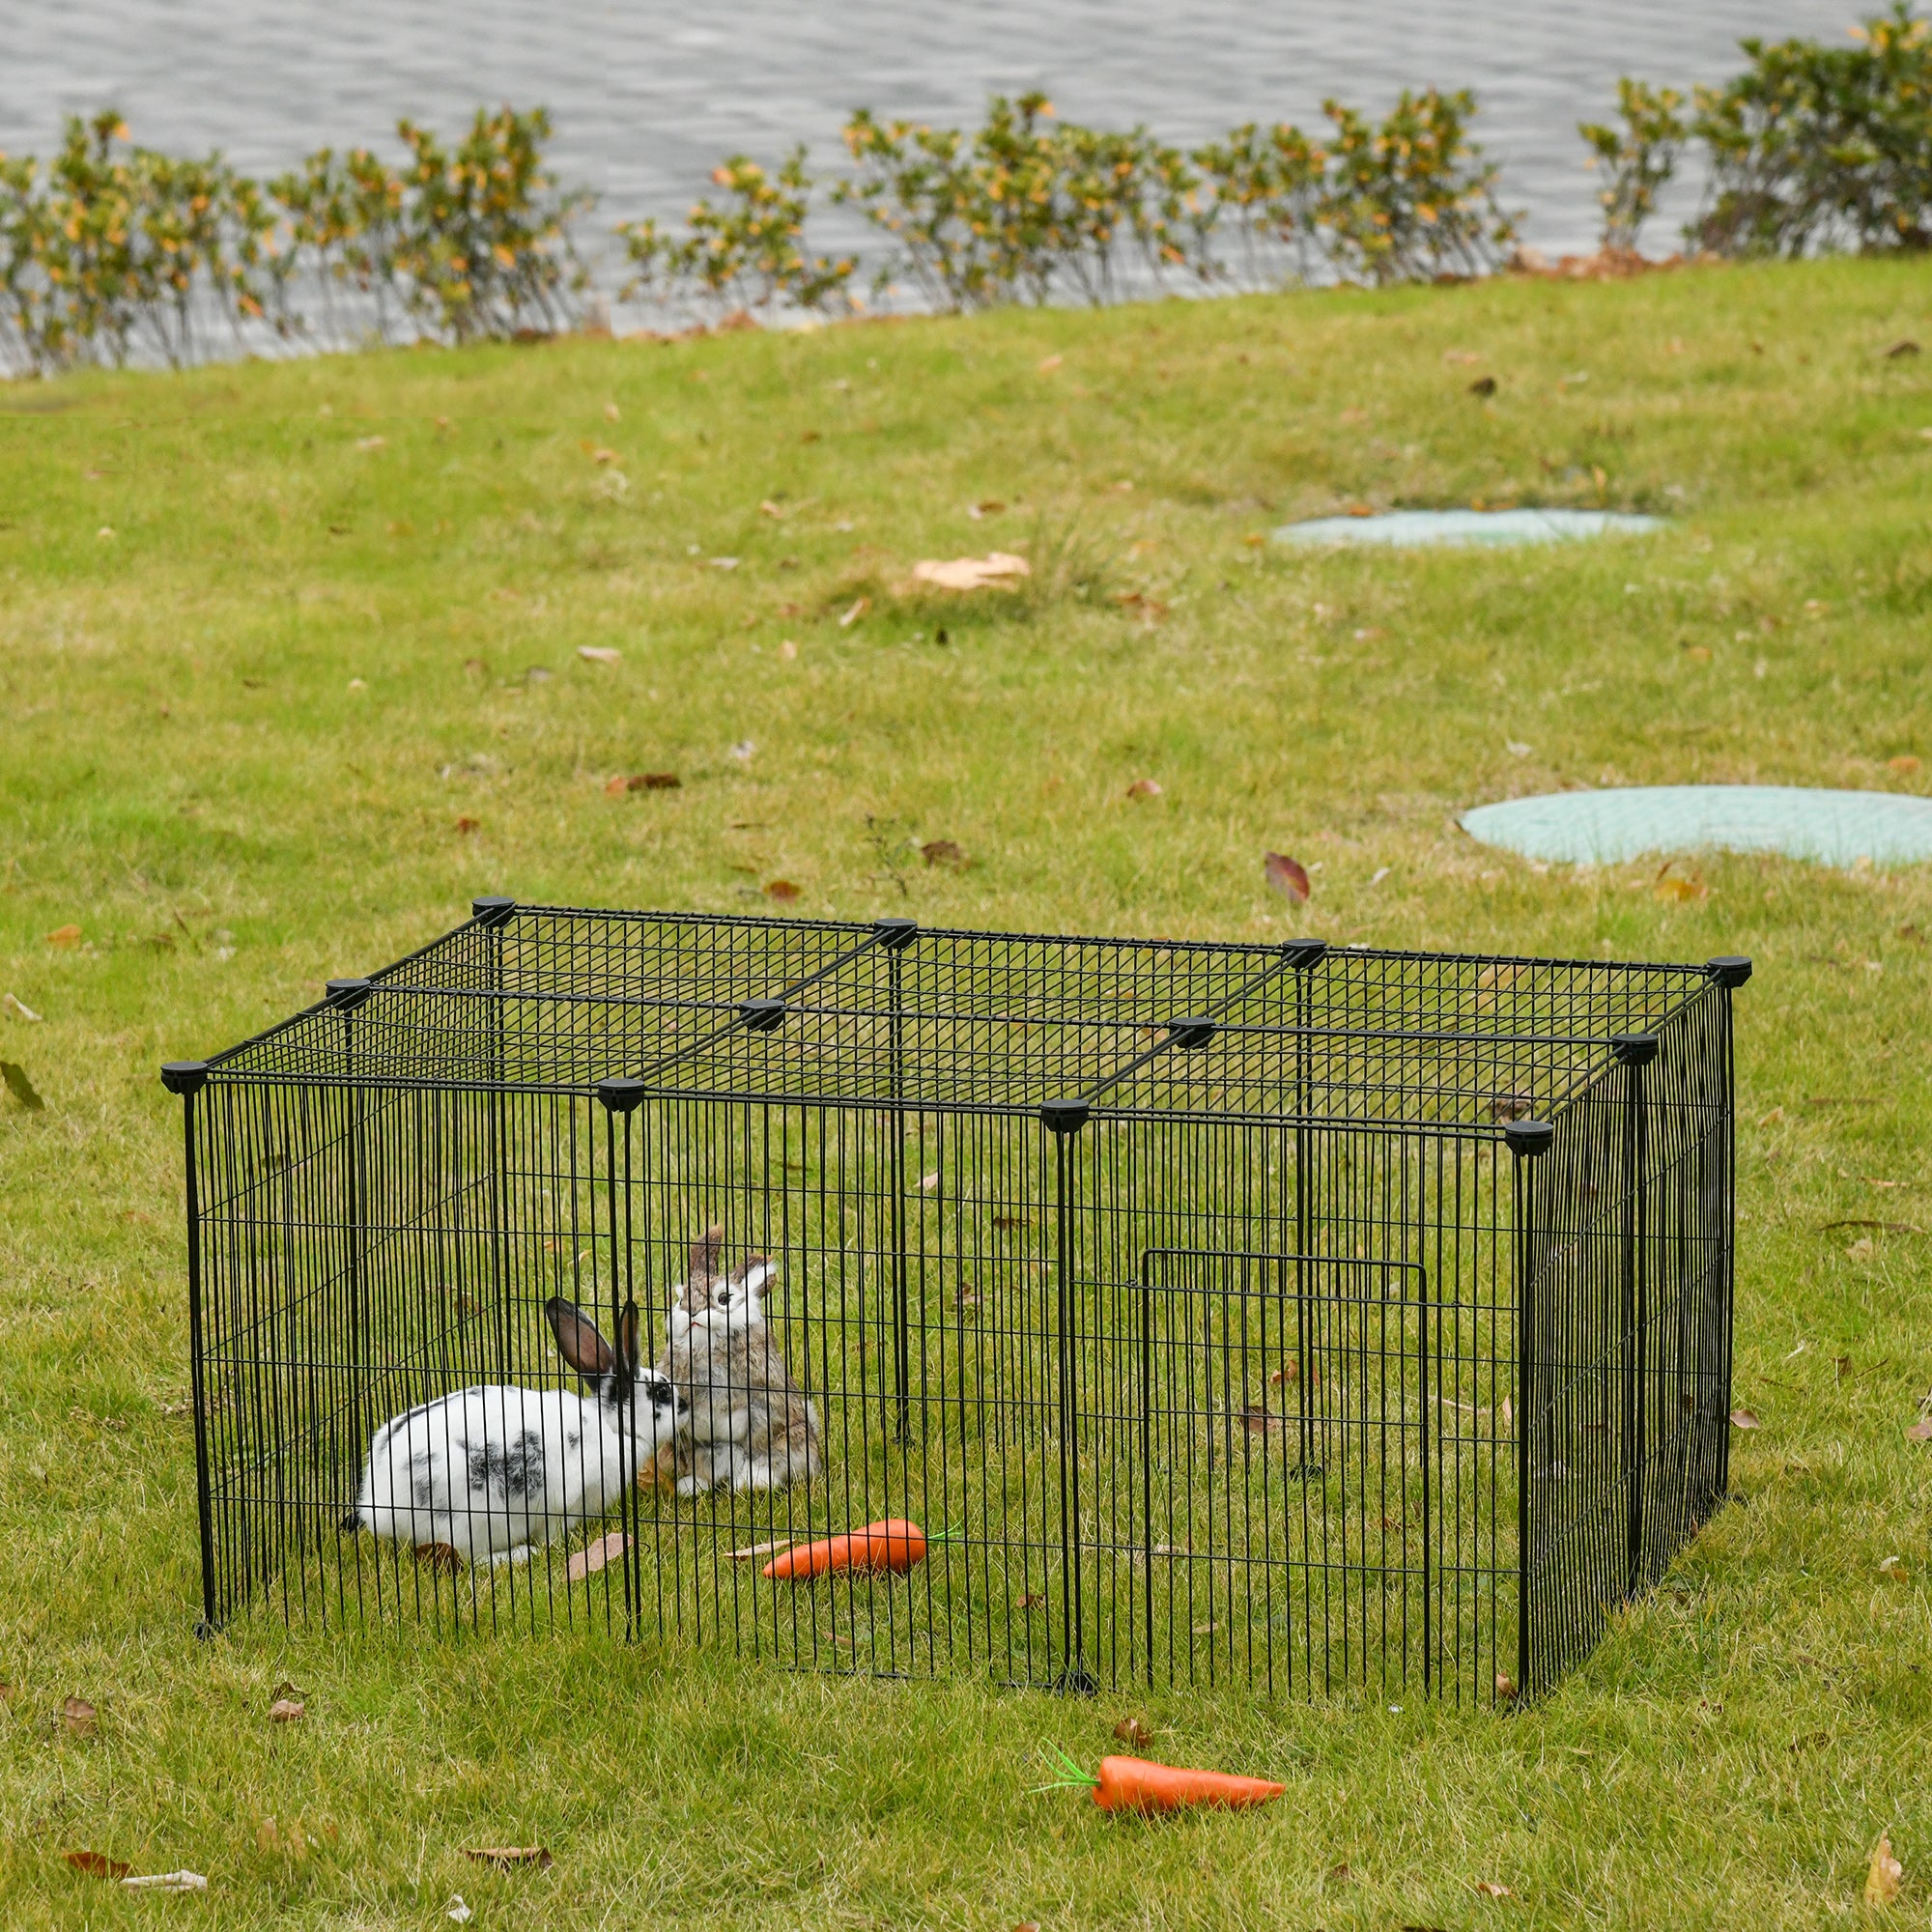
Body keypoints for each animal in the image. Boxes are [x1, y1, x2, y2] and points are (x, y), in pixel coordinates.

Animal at [343, 1297, 680, 1566]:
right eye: (662, 1392)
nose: (686, 1404)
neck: (612, 1427)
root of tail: (378, 1507)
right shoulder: (565, 1503)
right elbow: (551, 1532)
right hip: (473, 1520)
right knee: (472, 1558)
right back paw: (520, 1554)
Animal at [656, 1227, 821, 1495]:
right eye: (681, 1300)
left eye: (724, 1298)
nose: (692, 1313)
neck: (707, 1345)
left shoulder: (764, 1400)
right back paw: (692, 1487)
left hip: (794, 1443)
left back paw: (752, 1483)